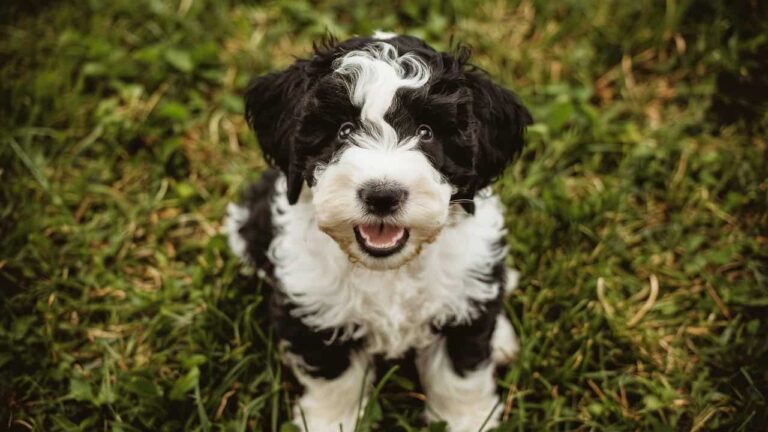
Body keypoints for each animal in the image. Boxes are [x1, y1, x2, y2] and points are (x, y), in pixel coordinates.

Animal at [225, 31, 532, 432]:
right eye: (343, 131)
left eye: (426, 132)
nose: (382, 195)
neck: (389, 270)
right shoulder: (317, 306)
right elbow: (334, 379)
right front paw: (332, 423)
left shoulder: (464, 292)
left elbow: (459, 372)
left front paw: (465, 421)